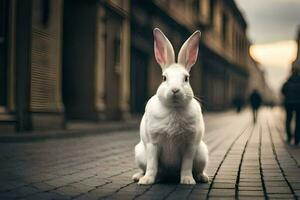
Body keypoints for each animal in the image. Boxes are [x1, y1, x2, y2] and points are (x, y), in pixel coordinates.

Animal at [132, 27, 209, 184]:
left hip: (202, 155)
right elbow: (152, 166)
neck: (174, 108)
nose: (175, 90)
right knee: (146, 168)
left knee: (198, 169)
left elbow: (186, 165)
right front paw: (146, 181)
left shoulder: (189, 145)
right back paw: (139, 177)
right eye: (164, 78)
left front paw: (187, 181)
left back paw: (202, 178)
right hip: (140, 154)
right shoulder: (153, 144)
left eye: (186, 78)